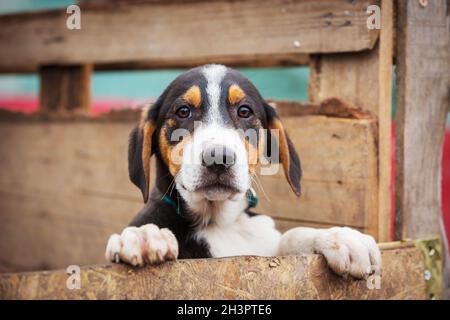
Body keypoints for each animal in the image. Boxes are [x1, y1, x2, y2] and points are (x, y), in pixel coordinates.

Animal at [104, 63, 380, 278]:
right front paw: (144, 236)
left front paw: (340, 237)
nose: (218, 158)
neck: (218, 222)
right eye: (183, 111)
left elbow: (291, 236)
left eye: (244, 111)